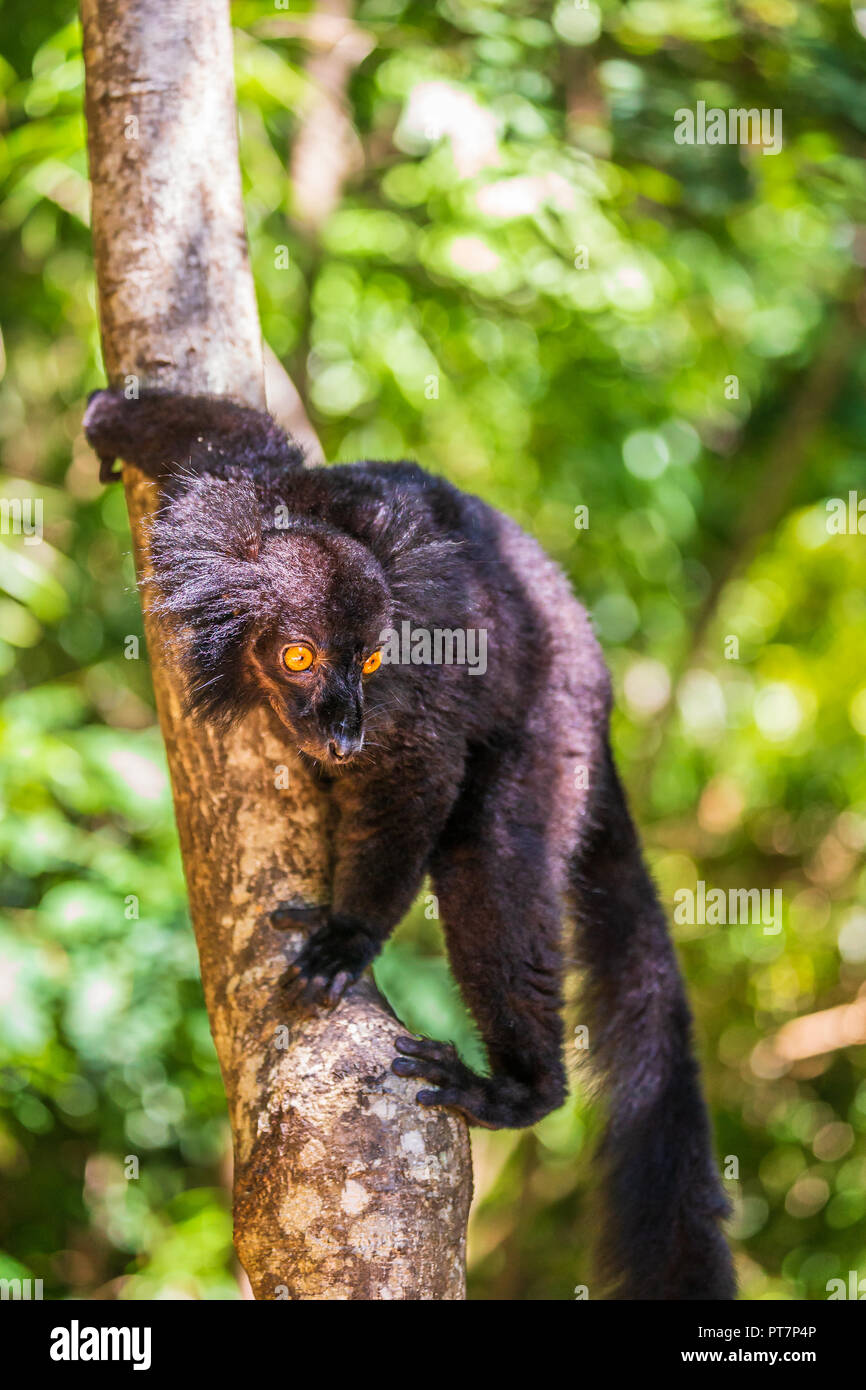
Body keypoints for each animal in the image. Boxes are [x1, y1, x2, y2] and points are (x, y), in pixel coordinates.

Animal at [84, 387, 735, 1300]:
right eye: (299, 657)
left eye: (372, 661)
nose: (346, 736)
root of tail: (595, 680)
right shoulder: (254, 481)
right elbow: (237, 435)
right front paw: (111, 421)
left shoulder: (413, 692)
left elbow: (419, 782)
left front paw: (347, 938)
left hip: (551, 723)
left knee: (487, 861)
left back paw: (520, 1090)